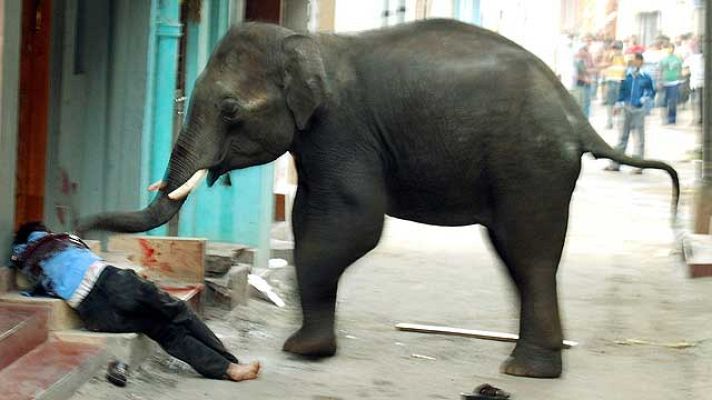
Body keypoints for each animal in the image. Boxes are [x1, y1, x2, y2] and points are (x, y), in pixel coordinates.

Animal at [78, 19, 679, 379]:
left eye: (230, 111)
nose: (80, 231)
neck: (305, 42)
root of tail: (574, 113)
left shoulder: (342, 128)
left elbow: (349, 222)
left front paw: (301, 350)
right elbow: (311, 218)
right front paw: (306, 341)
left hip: (530, 161)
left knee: (528, 252)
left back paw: (524, 372)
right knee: (521, 254)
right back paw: (535, 368)